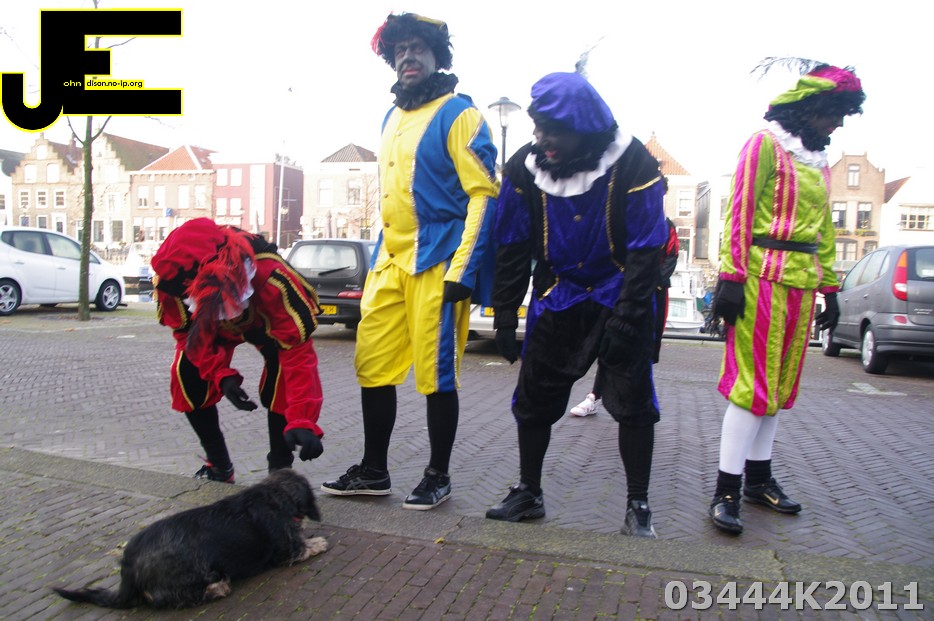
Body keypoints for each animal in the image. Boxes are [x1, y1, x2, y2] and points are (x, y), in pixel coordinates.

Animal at [53, 468, 327, 609]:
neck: (275, 495)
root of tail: (128, 567)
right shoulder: (287, 550)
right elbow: (304, 546)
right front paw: (318, 542)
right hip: (193, 573)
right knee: (169, 598)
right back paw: (217, 588)